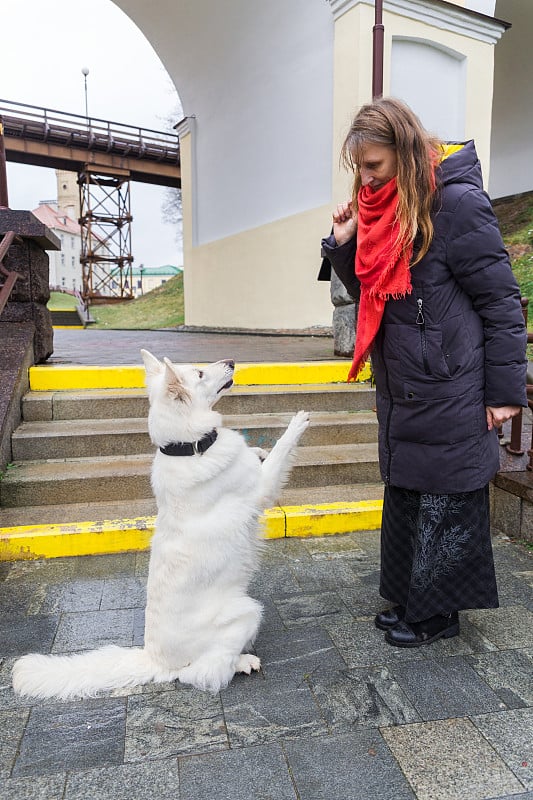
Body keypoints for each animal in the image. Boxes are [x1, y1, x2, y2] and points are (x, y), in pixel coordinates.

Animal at [12, 352, 310, 700]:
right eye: (199, 373)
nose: (233, 361)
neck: (188, 447)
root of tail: (155, 660)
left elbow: (263, 453)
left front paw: (258, 448)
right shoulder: (262, 488)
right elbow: (279, 452)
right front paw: (296, 423)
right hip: (248, 611)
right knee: (203, 672)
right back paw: (242, 662)